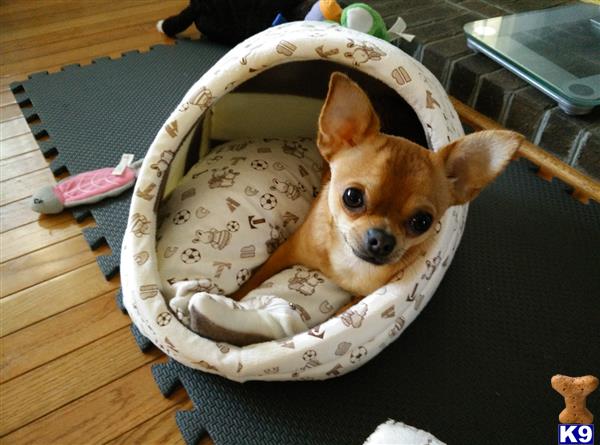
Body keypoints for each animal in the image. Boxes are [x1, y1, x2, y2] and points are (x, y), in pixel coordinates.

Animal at [230, 73, 520, 300]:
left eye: (422, 222)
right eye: (352, 197)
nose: (382, 240)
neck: (349, 262)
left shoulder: (359, 297)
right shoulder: (285, 252)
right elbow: (255, 280)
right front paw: (233, 302)